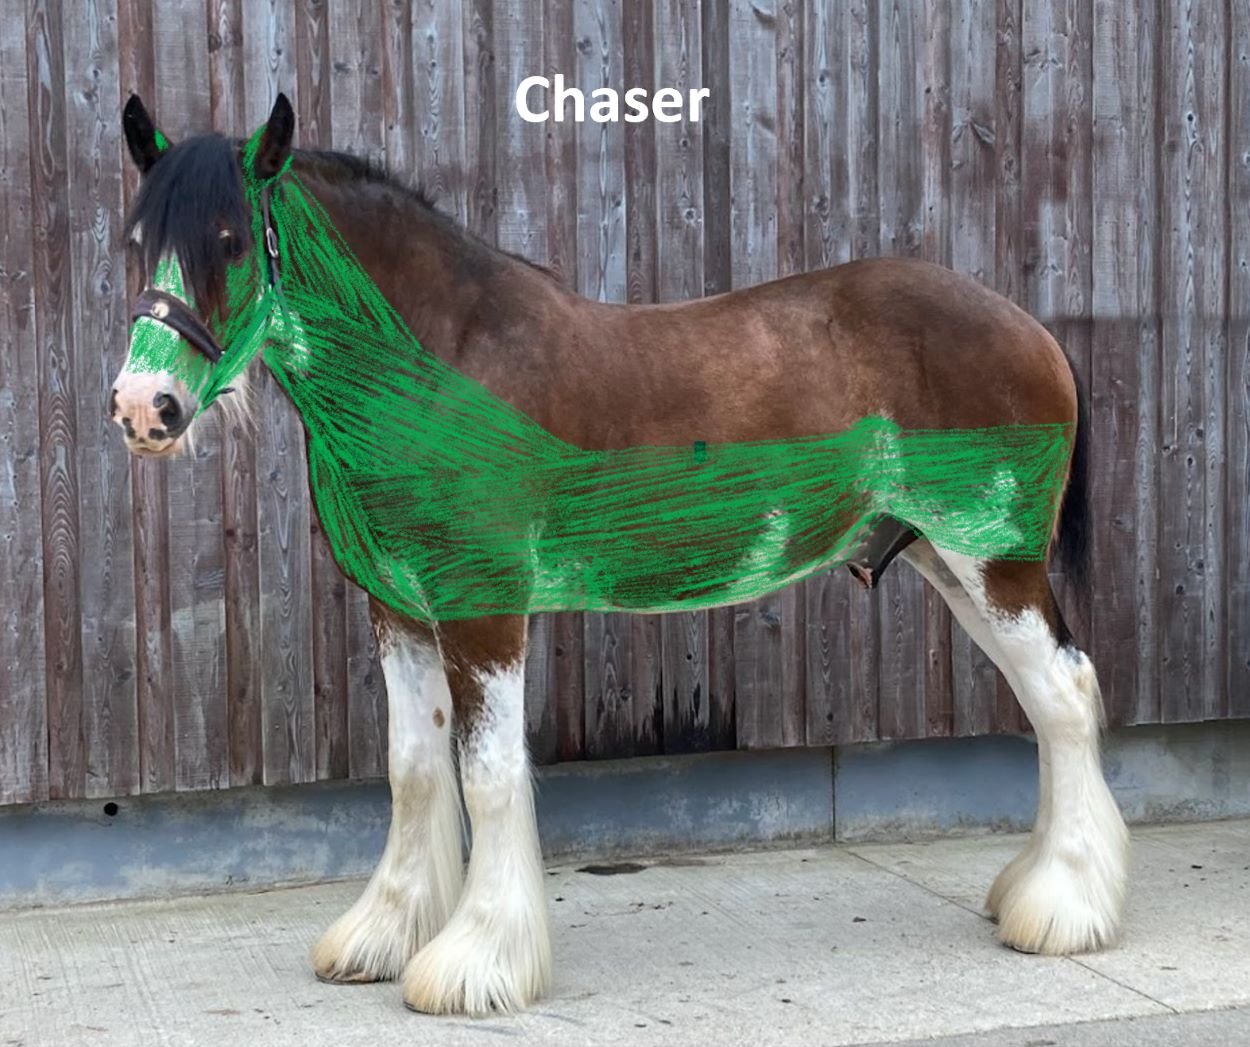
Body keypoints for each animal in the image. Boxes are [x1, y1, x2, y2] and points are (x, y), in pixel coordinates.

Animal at [110, 93, 1129, 1016]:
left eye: (232, 240)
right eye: (135, 239)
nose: (143, 407)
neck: (440, 368)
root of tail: (1028, 326)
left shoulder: (484, 609)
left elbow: (487, 773)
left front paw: (476, 963)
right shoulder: (398, 610)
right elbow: (413, 770)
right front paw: (382, 938)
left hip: (992, 563)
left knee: (1066, 693)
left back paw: (1066, 911)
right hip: (950, 567)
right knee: (1047, 700)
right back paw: (1035, 892)